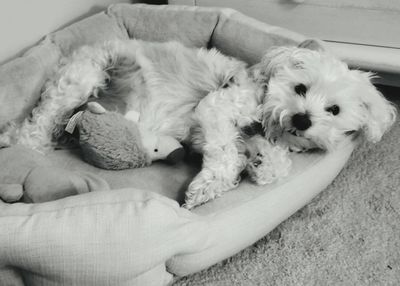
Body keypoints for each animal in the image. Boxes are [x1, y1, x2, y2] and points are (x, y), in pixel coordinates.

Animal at [2, 39, 396, 208]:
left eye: (334, 110)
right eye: (300, 88)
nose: (302, 118)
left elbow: (271, 159)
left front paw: (263, 163)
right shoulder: (217, 108)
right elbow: (224, 155)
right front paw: (208, 187)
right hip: (81, 79)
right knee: (34, 127)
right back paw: (25, 145)